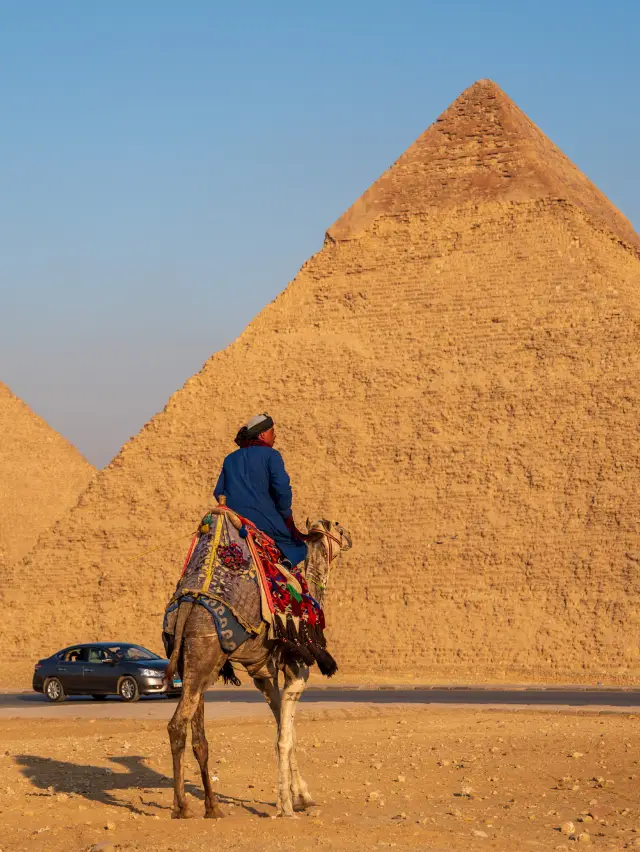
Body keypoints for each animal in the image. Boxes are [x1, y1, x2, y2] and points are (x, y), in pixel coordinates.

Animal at [164, 512, 350, 820]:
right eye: (337, 526)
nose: (349, 538)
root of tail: (188, 605)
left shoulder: (264, 677)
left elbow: (285, 732)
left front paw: (300, 796)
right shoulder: (298, 671)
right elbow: (285, 737)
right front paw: (288, 805)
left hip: (190, 663)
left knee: (198, 735)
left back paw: (212, 806)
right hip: (204, 655)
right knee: (177, 725)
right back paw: (182, 807)